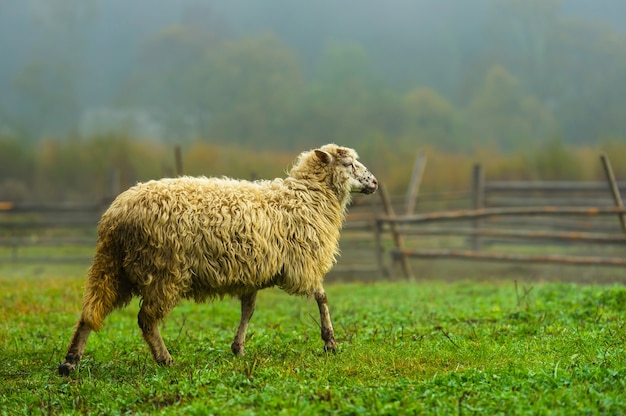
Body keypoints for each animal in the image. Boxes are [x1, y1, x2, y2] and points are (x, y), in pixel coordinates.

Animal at [58, 145, 378, 376]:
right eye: (349, 164)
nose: (374, 182)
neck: (308, 197)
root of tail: (115, 215)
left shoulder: (255, 270)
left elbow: (248, 310)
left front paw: (238, 348)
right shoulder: (302, 264)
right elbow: (322, 297)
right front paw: (330, 342)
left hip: (113, 268)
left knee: (90, 311)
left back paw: (70, 362)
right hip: (162, 270)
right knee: (146, 319)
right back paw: (165, 360)